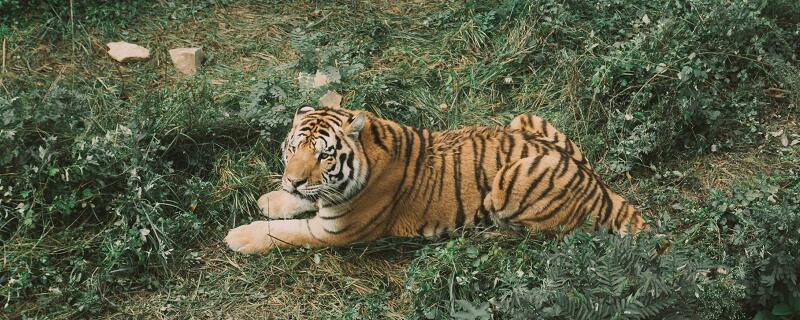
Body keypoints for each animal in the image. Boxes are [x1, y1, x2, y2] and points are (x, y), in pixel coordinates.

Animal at [222, 106, 648, 254]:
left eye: (325, 154)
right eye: (293, 148)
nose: (292, 179)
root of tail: (600, 186)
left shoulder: (336, 231)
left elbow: (287, 233)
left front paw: (241, 236)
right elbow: (304, 200)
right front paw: (275, 198)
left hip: (509, 181)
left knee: (535, 236)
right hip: (524, 119)